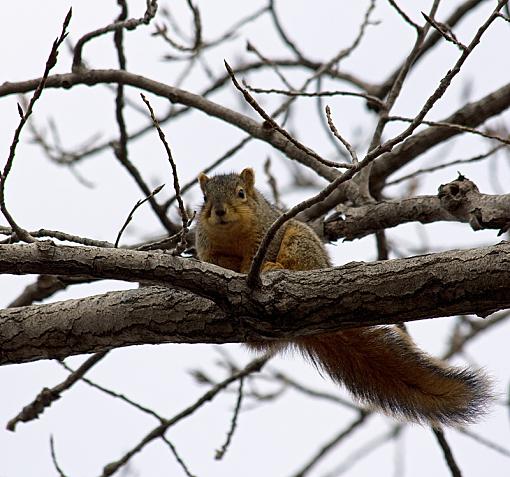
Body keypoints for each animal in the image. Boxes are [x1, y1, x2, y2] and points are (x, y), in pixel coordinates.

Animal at [195, 167, 490, 424]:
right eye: (205, 198)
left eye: (241, 193)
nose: (219, 211)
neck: (231, 235)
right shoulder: (207, 249)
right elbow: (213, 263)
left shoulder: (268, 234)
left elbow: (256, 258)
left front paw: (252, 270)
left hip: (299, 241)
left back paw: (275, 269)